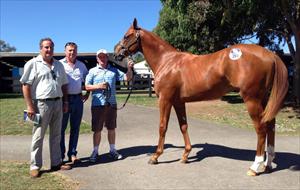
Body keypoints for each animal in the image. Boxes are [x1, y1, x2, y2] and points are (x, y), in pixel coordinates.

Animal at [115, 18, 288, 176]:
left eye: (126, 36)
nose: (116, 53)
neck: (167, 61)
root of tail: (270, 54)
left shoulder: (165, 100)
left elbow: (162, 126)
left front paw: (155, 156)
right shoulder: (178, 102)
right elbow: (183, 126)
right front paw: (185, 155)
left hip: (252, 99)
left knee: (261, 129)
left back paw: (255, 166)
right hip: (263, 98)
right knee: (270, 125)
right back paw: (268, 164)